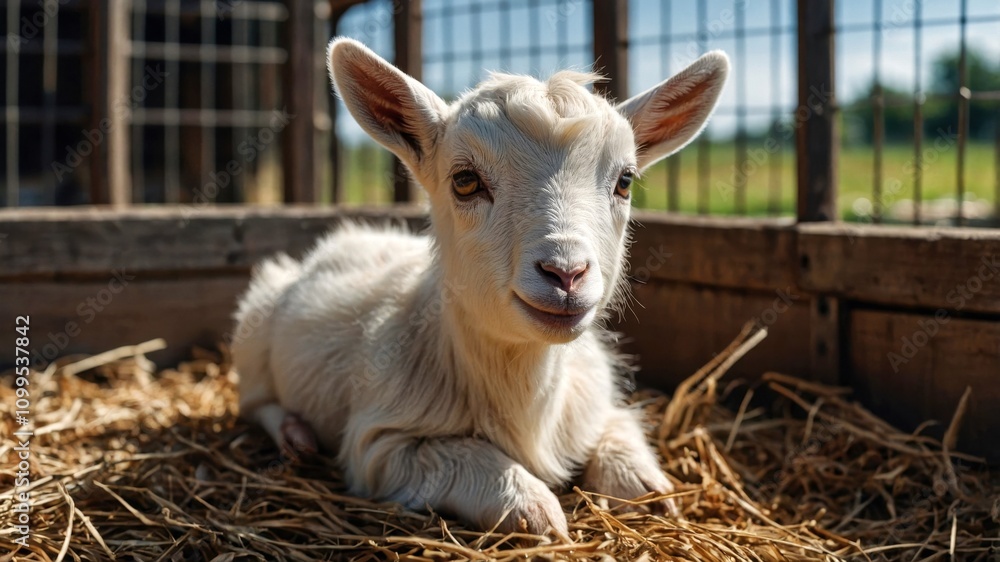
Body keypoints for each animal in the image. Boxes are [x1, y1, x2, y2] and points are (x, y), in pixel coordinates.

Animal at [233, 38, 728, 538]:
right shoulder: (378, 447)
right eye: (466, 180)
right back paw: (295, 437)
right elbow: (462, 457)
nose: (566, 273)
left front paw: (647, 490)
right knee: (255, 402)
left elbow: (620, 432)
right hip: (254, 324)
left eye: (625, 181)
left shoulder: (596, 401)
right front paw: (534, 508)